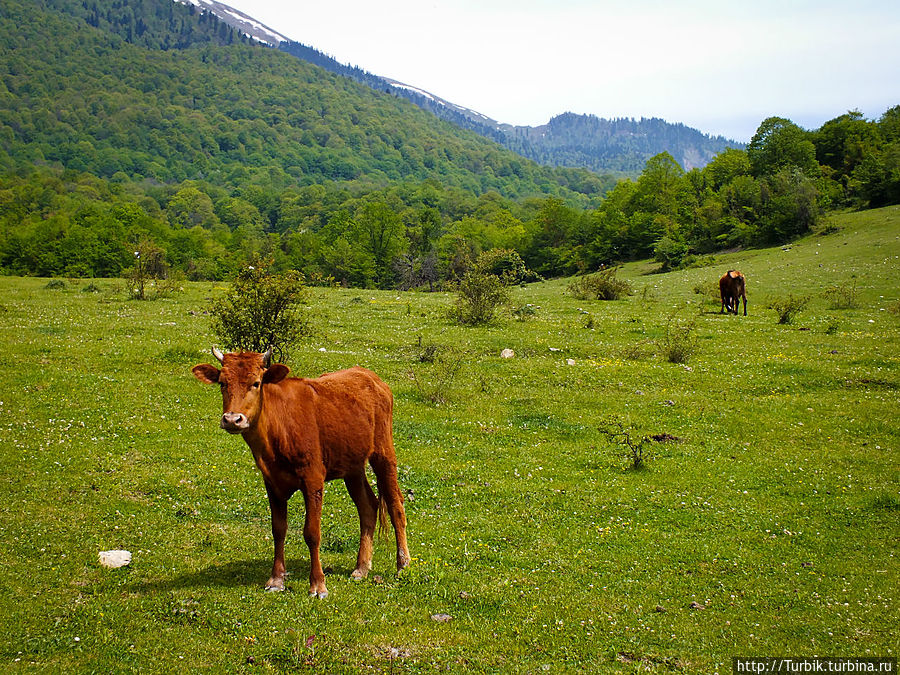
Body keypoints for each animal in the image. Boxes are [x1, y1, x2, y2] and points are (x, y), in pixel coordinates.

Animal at [195, 348, 414, 596]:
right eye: (222, 383)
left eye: (256, 383)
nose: (233, 419)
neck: (277, 431)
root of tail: (369, 375)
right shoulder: (271, 482)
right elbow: (278, 529)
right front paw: (276, 579)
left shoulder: (313, 479)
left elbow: (312, 533)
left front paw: (318, 584)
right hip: (352, 464)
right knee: (368, 506)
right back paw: (361, 567)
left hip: (384, 453)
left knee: (396, 505)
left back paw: (403, 564)